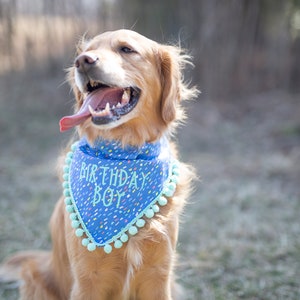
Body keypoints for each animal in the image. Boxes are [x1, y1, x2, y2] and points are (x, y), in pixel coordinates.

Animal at [1, 28, 198, 300]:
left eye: (127, 49)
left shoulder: (159, 275)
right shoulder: (87, 279)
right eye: (86, 51)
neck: (123, 152)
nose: (83, 61)